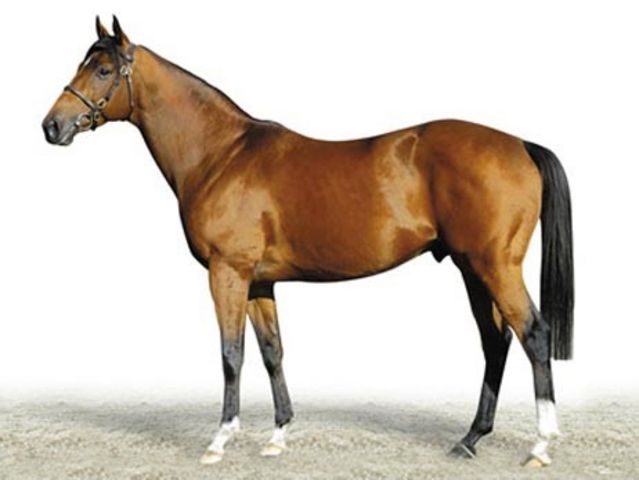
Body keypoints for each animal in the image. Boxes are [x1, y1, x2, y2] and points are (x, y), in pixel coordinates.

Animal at [42, 16, 573, 467]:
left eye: (103, 70)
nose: (52, 126)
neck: (221, 155)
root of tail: (520, 144)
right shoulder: (259, 283)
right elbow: (272, 352)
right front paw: (278, 437)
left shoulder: (227, 273)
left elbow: (230, 354)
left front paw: (220, 440)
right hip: (471, 268)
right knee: (495, 342)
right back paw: (469, 440)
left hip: (494, 266)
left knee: (533, 334)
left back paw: (540, 446)